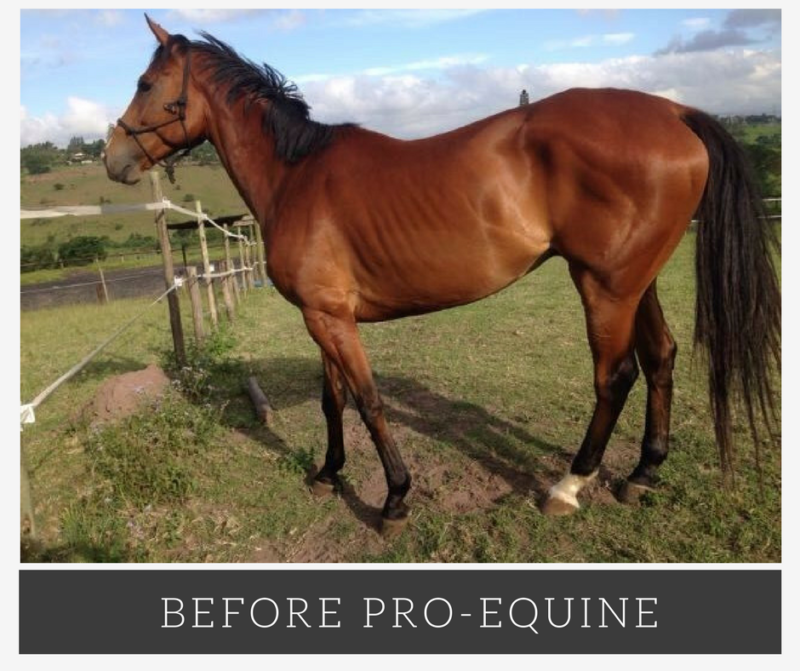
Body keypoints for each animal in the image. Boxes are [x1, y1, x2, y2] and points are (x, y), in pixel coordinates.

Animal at [104, 16, 780, 537]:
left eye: (145, 83)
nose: (114, 158)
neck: (296, 174)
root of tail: (675, 109)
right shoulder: (322, 314)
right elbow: (332, 399)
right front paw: (327, 473)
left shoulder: (331, 318)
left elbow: (369, 401)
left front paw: (395, 498)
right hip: (637, 281)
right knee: (662, 356)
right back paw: (642, 473)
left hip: (604, 287)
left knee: (616, 377)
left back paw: (568, 485)